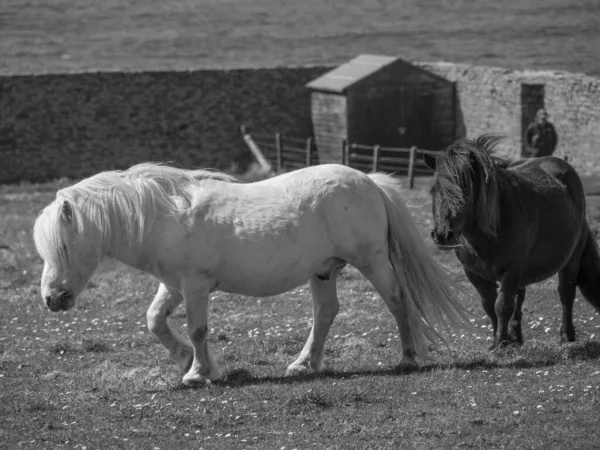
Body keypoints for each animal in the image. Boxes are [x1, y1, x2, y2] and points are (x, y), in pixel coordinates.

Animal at [34, 163, 468, 384]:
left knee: (397, 301)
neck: (163, 217)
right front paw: (189, 361)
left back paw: (408, 358)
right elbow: (155, 320)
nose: (52, 300)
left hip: (373, 261)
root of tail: (370, 182)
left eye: (65, 247)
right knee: (324, 314)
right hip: (323, 272)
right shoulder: (173, 285)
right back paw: (303, 364)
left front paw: (198, 372)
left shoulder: (195, 286)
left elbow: (197, 329)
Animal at [424, 134, 600, 348]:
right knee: (520, 296)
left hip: (572, 259)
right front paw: (501, 339)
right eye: (434, 189)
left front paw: (500, 341)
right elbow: (489, 305)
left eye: (464, 188)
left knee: (566, 294)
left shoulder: (512, 269)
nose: (442, 234)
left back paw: (567, 336)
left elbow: (502, 305)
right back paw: (516, 336)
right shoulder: (474, 274)